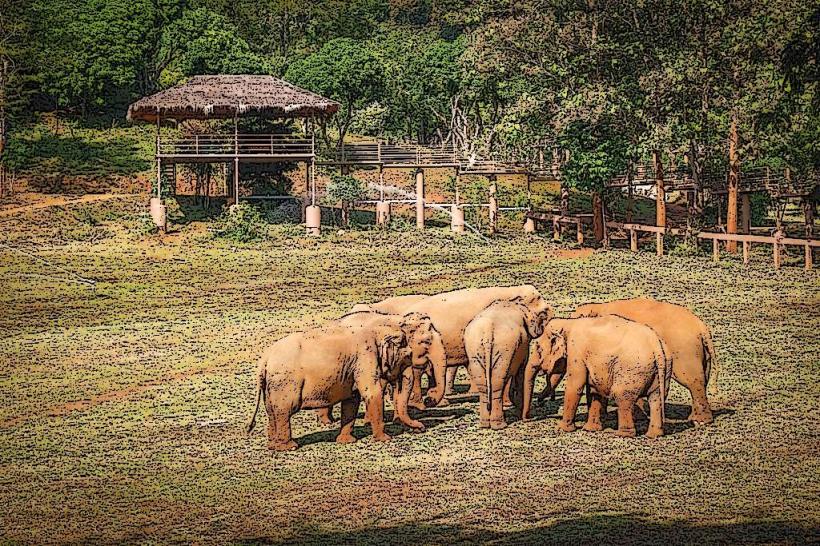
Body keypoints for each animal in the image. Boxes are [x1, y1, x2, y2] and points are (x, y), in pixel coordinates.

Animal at [524, 314, 672, 438]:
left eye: (538, 349)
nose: (528, 418)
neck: (568, 323)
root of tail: (656, 345)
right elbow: (594, 390)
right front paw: (590, 429)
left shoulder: (576, 351)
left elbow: (576, 385)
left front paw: (561, 429)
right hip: (663, 369)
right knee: (656, 398)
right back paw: (654, 435)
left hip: (631, 371)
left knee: (622, 397)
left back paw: (620, 434)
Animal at [572, 298, 716, 420]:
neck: (598, 307)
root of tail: (702, 327)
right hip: (702, 354)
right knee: (702, 380)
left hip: (684, 351)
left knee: (694, 382)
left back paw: (701, 421)